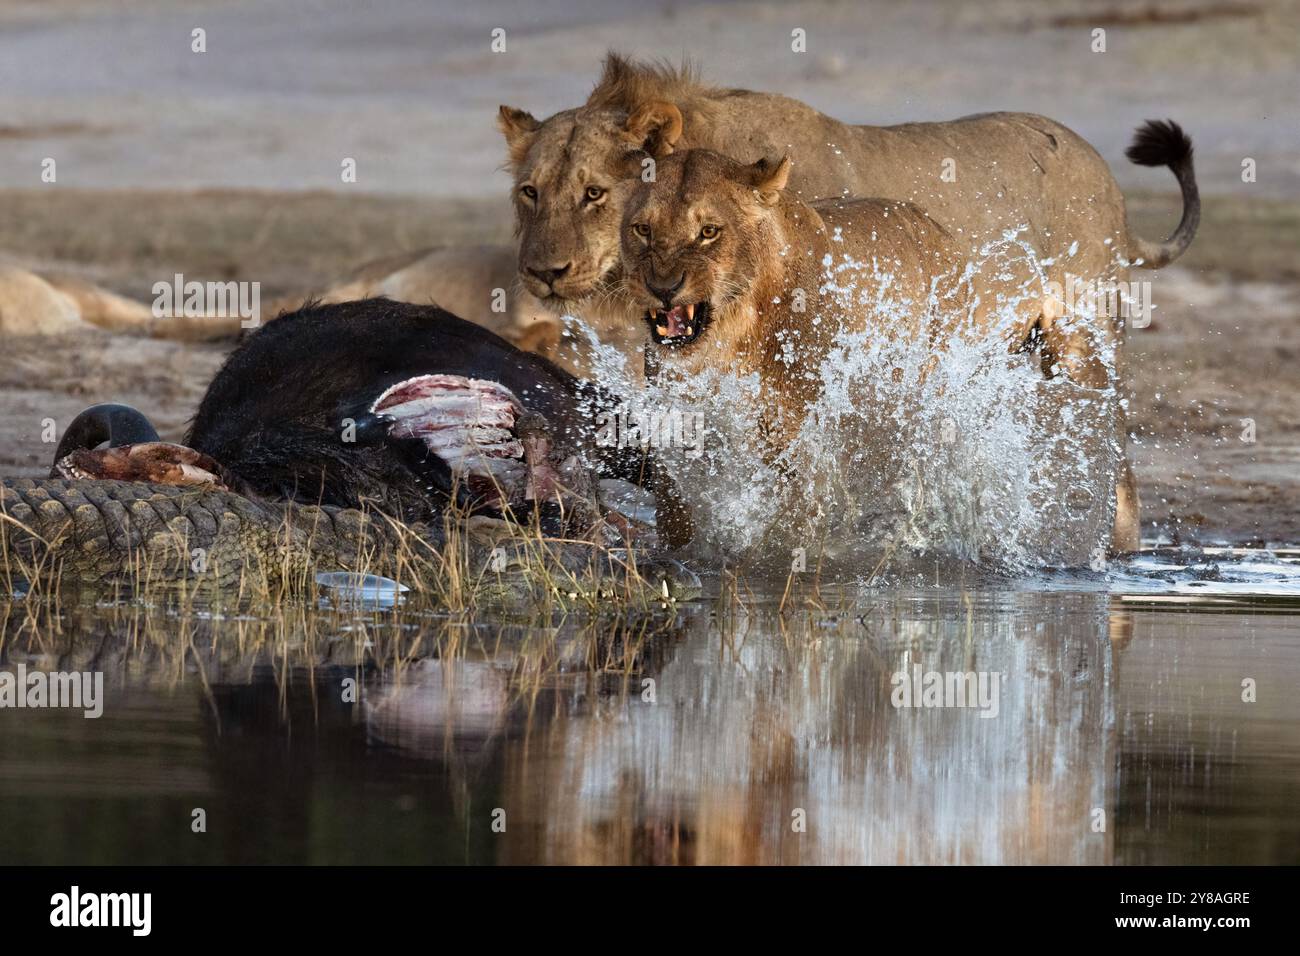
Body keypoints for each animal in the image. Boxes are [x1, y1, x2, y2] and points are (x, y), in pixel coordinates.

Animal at [499, 53, 1201, 550]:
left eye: (594, 192)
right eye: (530, 192)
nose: (541, 273)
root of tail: (1105, 172)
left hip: (1085, 345)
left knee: (1119, 472)